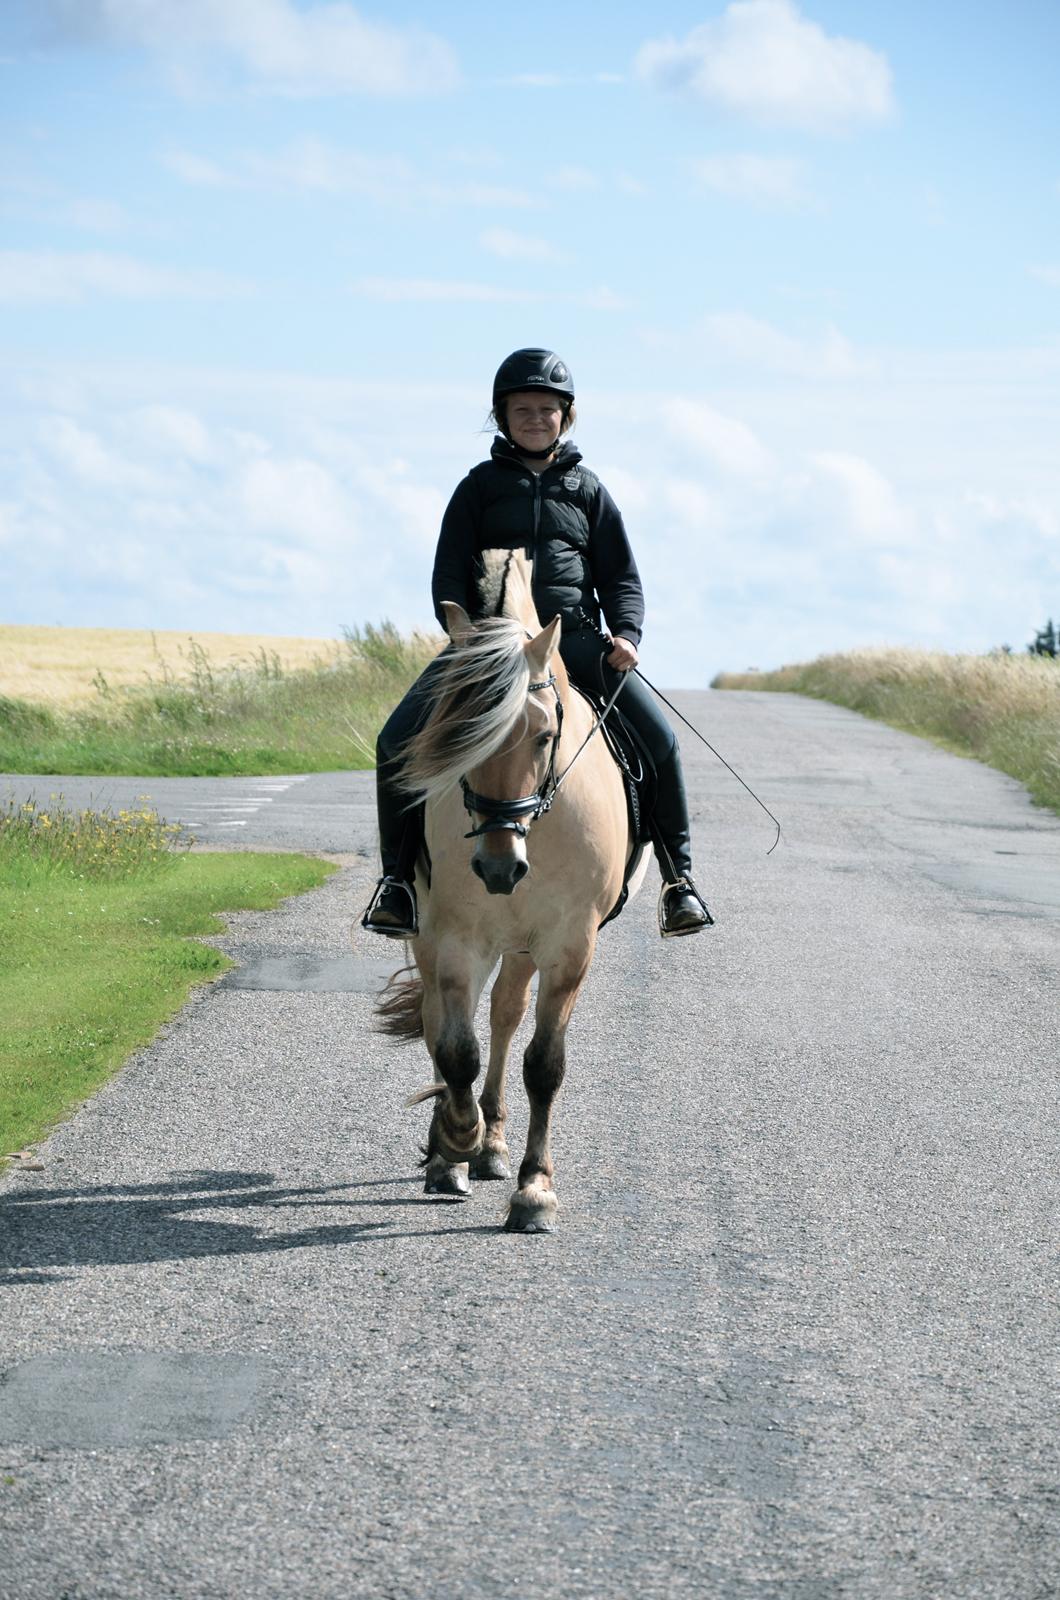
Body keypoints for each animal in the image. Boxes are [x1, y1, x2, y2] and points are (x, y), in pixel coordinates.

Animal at [377, 544, 653, 1228]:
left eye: (545, 735)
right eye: (460, 740)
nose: (500, 869)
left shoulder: (568, 945)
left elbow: (543, 1064)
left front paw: (534, 1188)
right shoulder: (454, 937)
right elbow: (456, 1051)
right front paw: (455, 1139)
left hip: (523, 946)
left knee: (505, 1015)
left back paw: (495, 1146)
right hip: (437, 937)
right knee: (444, 1021)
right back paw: (455, 1149)